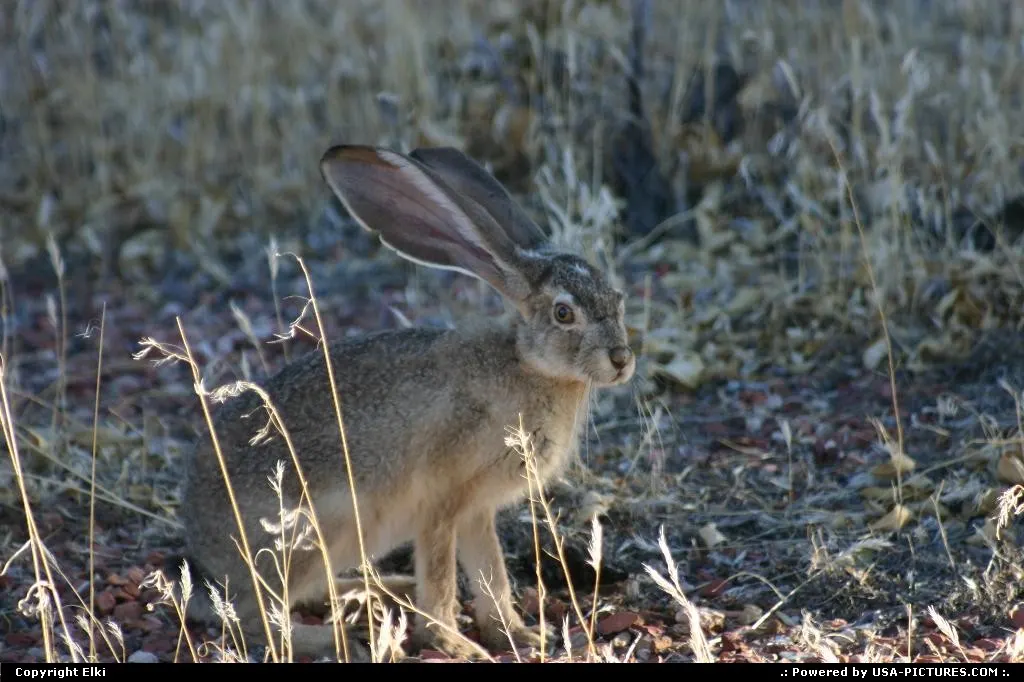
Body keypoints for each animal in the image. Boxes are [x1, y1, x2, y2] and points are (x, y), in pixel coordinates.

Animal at [166, 144, 636, 661]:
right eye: (564, 314)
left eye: (618, 300)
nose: (621, 360)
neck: (526, 363)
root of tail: (210, 557)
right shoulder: (442, 500)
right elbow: (444, 573)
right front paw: (453, 643)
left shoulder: (477, 509)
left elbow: (491, 572)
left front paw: (519, 634)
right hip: (317, 530)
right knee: (255, 618)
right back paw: (337, 637)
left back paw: (381, 590)